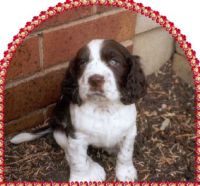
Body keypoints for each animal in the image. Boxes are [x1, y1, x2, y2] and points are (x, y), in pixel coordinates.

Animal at [10, 38, 148, 182]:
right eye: (83, 63)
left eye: (114, 61)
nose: (95, 79)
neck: (103, 107)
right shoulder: (76, 137)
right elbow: (78, 161)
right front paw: (80, 179)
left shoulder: (130, 131)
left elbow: (125, 154)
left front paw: (126, 172)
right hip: (60, 132)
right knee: (70, 153)